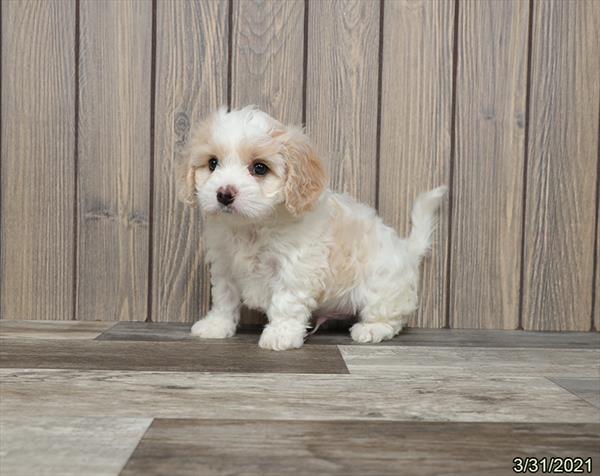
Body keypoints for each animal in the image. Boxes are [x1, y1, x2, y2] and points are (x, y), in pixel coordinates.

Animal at [178, 107, 446, 350]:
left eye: (260, 168)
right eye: (213, 163)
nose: (223, 194)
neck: (252, 227)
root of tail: (407, 249)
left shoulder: (295, 266)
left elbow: (286, 301)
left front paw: (281, 334)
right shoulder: (224, 265)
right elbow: (224, 297)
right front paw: (216, 325)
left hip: (382, 286)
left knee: (390, 316)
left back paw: (372, 329)